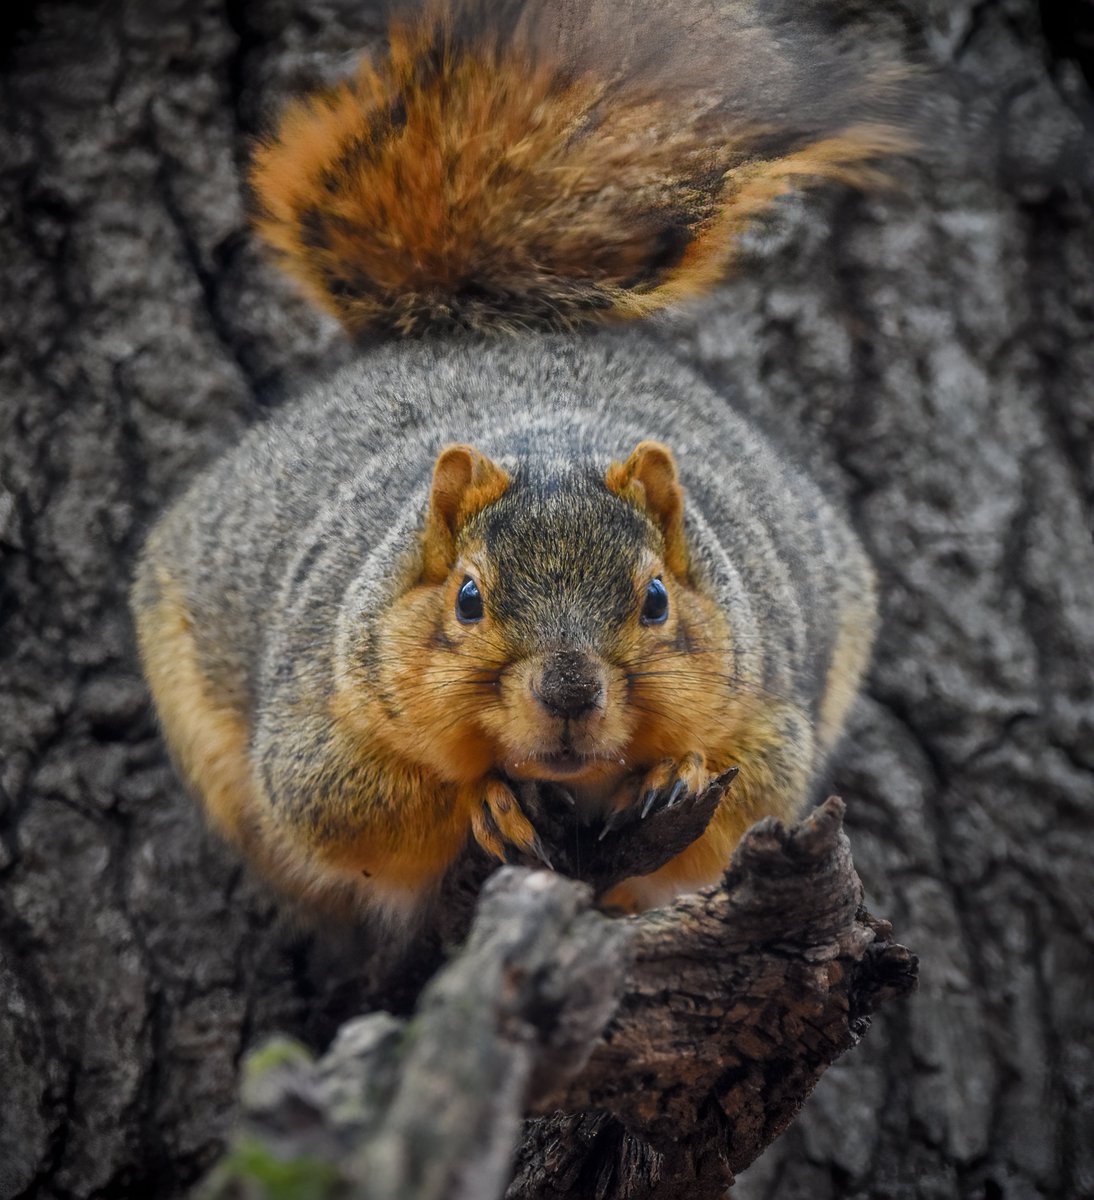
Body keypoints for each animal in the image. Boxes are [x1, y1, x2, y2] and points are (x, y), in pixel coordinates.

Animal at [132, 1, 907, 923]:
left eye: (656, 599)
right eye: (467, 599)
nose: (569, 692)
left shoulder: (766, 712)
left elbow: (742, 792)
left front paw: (672, 771)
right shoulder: (317, 722)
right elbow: (349, 807)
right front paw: (488, 799)